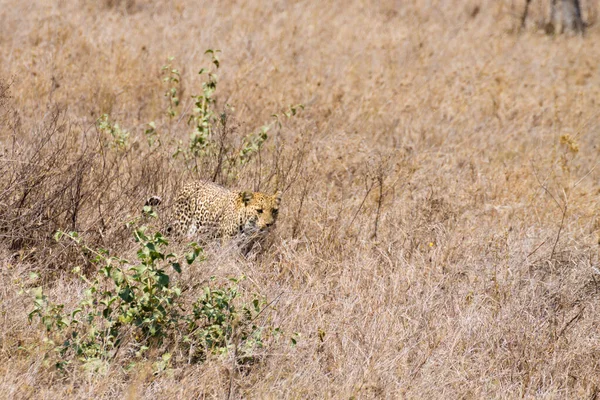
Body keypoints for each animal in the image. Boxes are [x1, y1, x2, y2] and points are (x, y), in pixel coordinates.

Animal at [148, 180, 284, 248]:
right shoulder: (228, 240)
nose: (269, 224)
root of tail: (187, 183)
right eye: (259, 211)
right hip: (180, 227)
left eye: (274, 211)